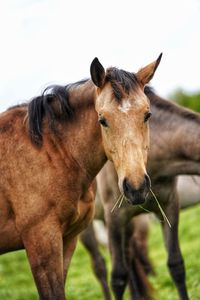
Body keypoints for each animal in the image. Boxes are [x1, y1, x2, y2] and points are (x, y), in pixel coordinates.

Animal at [0, 56, 162, 300]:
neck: (51, 151)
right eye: (102, 120)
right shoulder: (41, 244)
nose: (136, 187)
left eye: (147, 115)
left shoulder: (67, 240)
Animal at [80, 86, 200, 300]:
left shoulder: (169, 206)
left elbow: (176, 265)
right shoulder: (115, 216)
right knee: (100, 265)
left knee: (129, 259)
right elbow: (117, 276)